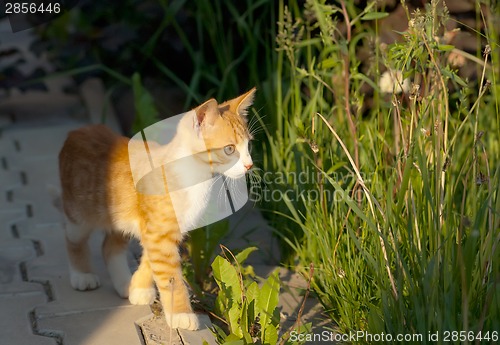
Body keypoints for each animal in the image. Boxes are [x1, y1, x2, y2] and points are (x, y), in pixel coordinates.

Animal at [57, 87, 256, 330]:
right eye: (229, 149)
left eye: (248, 146)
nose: (249, 165)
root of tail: (79, 130)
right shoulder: (159, 233)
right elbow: (170, 275)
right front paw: (181, 314)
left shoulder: (162, 232)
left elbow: (151, 261)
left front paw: (138, 287)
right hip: (79, 214)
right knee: (73, 238)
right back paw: (82, 274)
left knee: (109, 246)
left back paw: (123, 282)